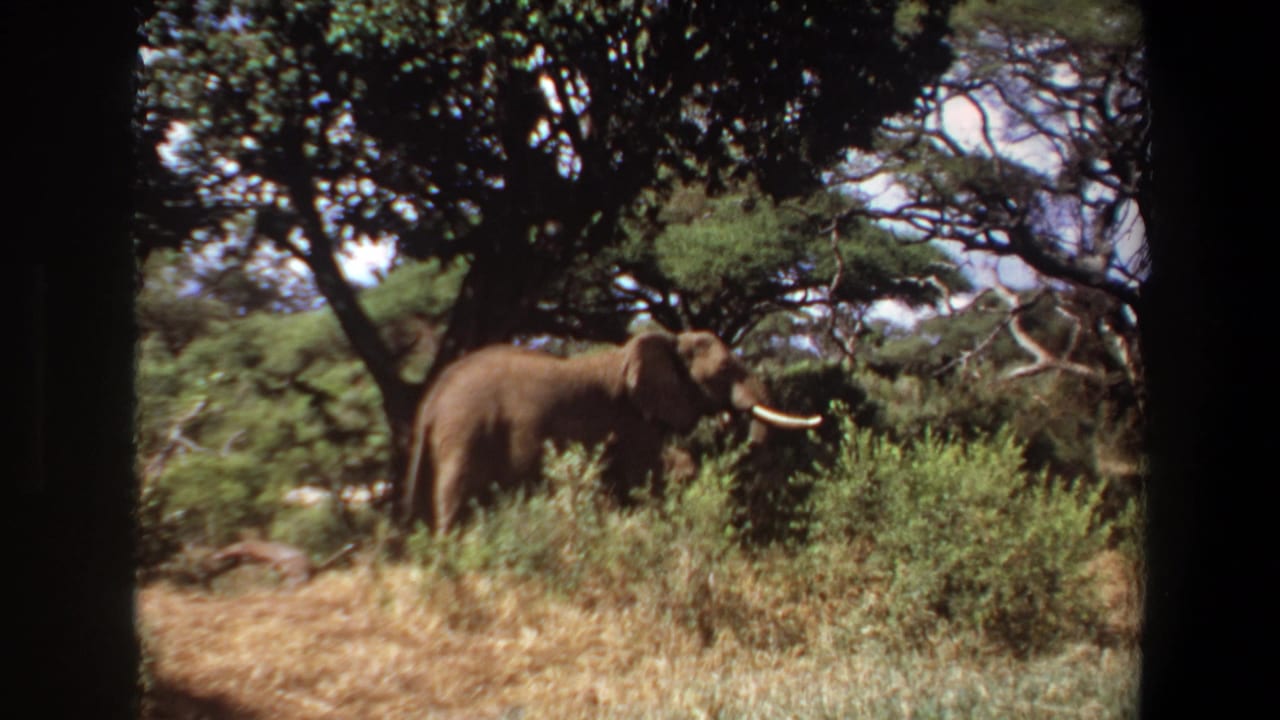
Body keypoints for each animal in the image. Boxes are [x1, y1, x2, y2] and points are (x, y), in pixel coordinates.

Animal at [402, 329, 822, 533]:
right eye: (721, 372)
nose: (732, 418)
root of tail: (432, 400)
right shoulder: (632, 419)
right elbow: (644, 479)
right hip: (466, 434)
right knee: (457, 499)